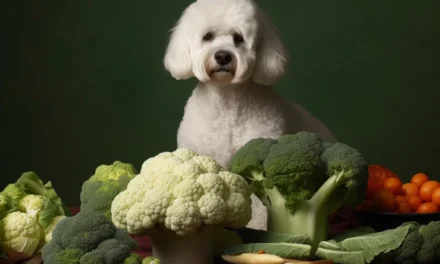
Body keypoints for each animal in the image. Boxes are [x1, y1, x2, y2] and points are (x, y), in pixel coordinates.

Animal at [163, 0, 336, 230]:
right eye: (207, 36)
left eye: (238, 38)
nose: (222, 56)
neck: (227, 103)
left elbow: (261, 204)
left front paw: (258, 227)